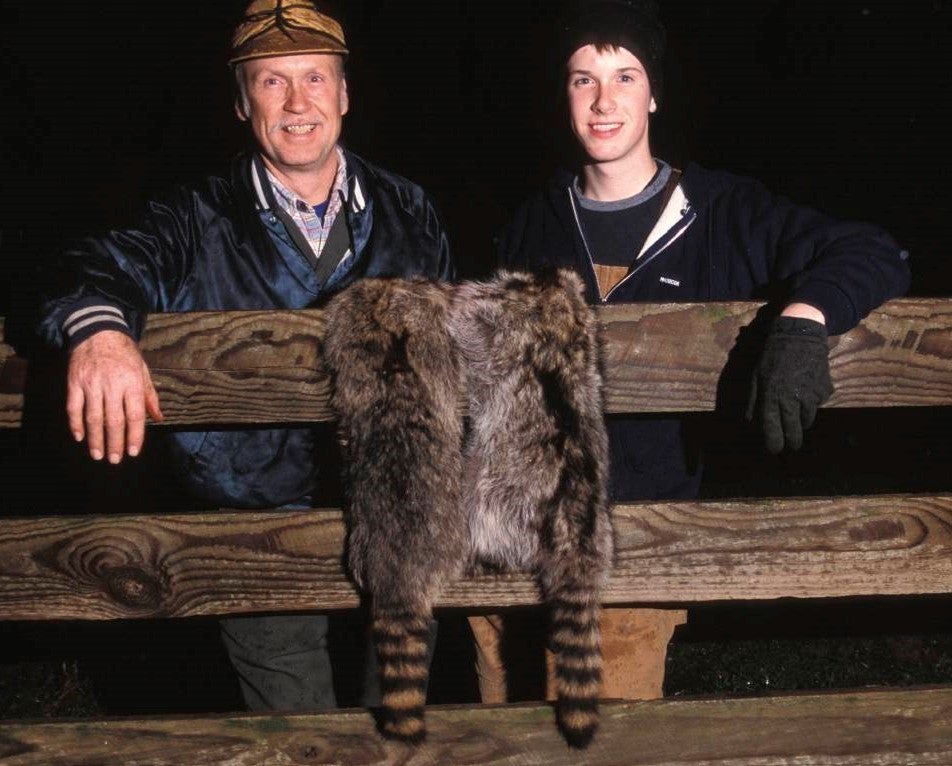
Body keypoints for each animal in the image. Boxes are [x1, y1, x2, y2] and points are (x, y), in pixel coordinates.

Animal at [448, 269, 613, 749]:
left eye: (513, 283)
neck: (561, 320)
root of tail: (576, 528)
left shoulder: (508, 335)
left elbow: (475, 328)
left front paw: (459, 300)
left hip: (501, 500)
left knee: (477, 497)